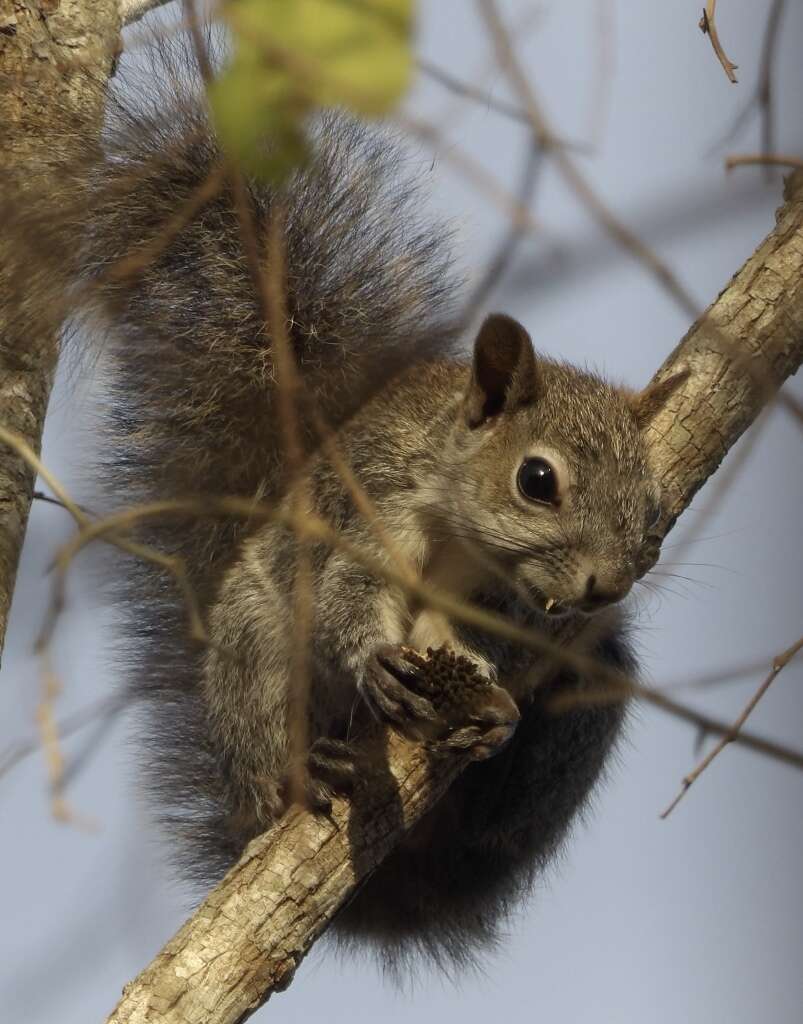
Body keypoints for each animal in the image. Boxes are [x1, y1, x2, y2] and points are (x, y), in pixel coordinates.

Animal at [62, 34, 684, 974]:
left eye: (652, 516)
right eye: (537, 481)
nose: (605, 587)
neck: (459, 524)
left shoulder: (509, 602)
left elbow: (495, 632)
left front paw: (484, 686)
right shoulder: (367, 508)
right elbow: (348, 597)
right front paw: (373, 660)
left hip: (599, 683)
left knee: (499, 824)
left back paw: (492, 765)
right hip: (255, 653)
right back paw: (300, 774)